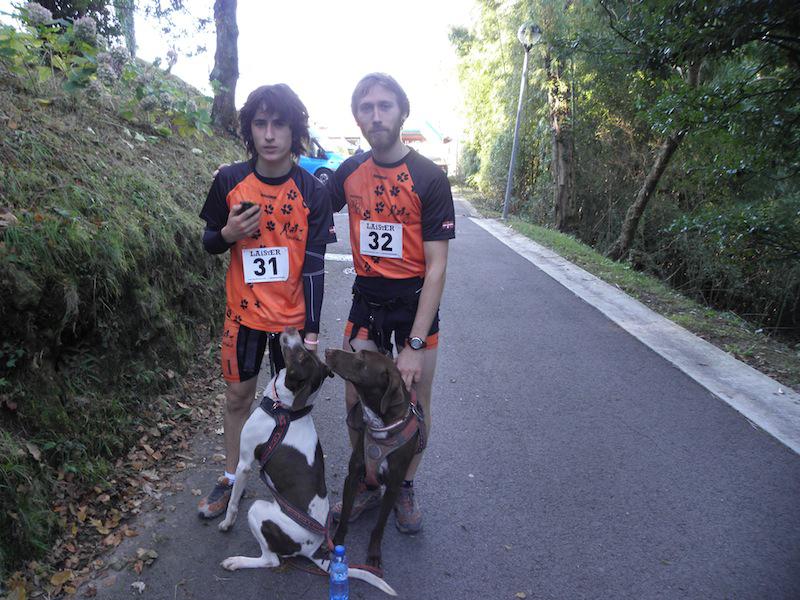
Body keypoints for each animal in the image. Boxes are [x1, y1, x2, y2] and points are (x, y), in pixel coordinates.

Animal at [218, 328, 396, 596]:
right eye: (306, 352)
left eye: (301, 357)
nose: (291, 329)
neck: (285, 410)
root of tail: (315, 548)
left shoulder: (245, 463)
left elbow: (233, 503)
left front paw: (227, 523)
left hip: (258, 510)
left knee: (271, 560)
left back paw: (236, 562)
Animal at [325, 348, 425, 570]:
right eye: (357, 351)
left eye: (361, 359)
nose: (327, 351)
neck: (381, 424)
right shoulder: (352, 476)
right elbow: (344, 517)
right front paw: (336, 544)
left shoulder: (393, 487)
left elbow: (379, 527)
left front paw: (374, 555)